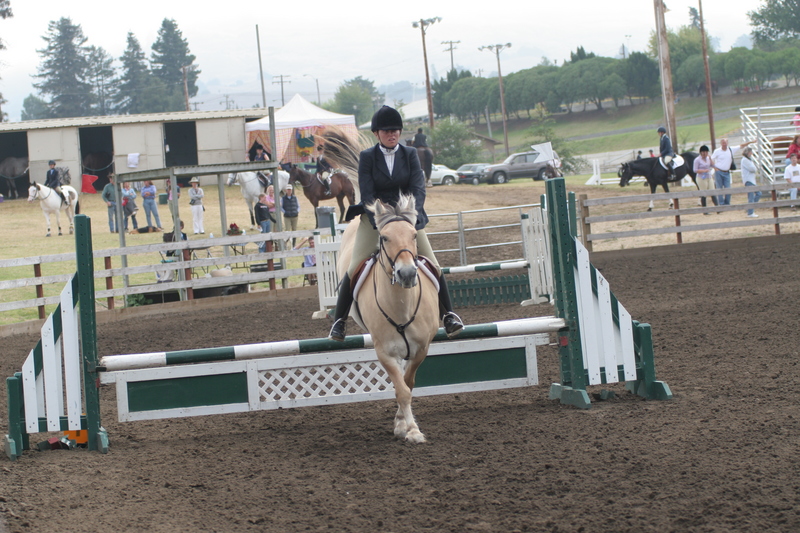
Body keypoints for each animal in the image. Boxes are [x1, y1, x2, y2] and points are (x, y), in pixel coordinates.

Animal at [337, 194, 439, 443]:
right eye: (384, 237)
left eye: (413, 235)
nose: (407, 274)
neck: (401, 306)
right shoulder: (385, 353)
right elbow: (402, 390)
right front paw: (410, 429)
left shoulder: (421, 349)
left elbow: (407, 384)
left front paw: (403, 423)